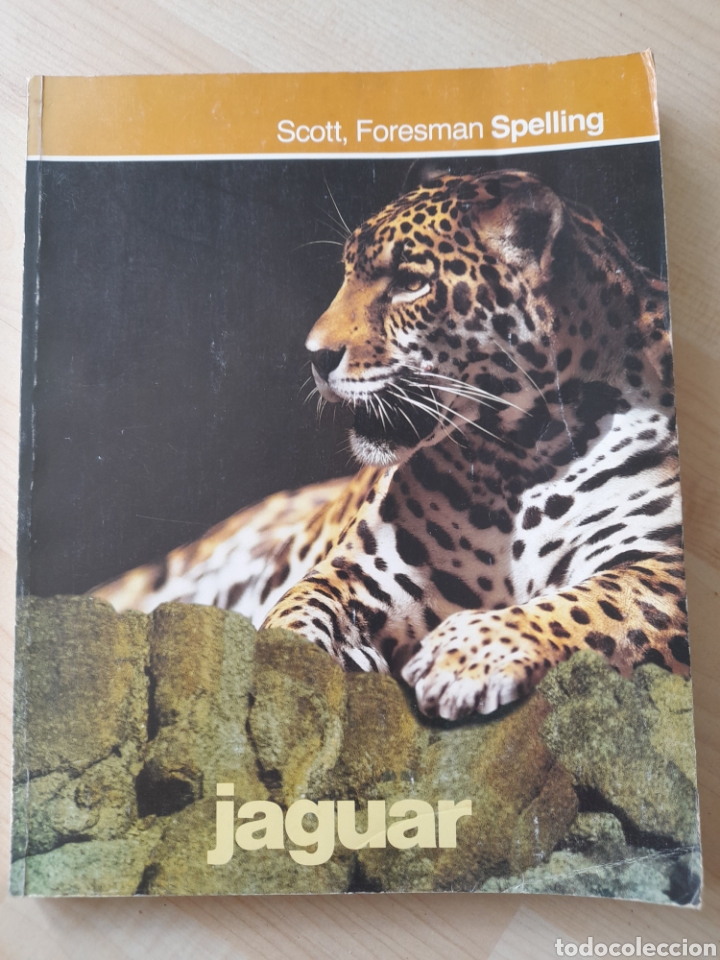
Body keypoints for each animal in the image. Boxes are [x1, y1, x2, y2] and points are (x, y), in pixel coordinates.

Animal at [91, 169, 689, 721]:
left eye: (409, 282)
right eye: (347, 273)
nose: (315, 355)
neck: (523, 455)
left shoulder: (663, 567)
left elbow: (584, 606)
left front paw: (467, 656)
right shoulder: (367, 569)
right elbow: (298, 609)